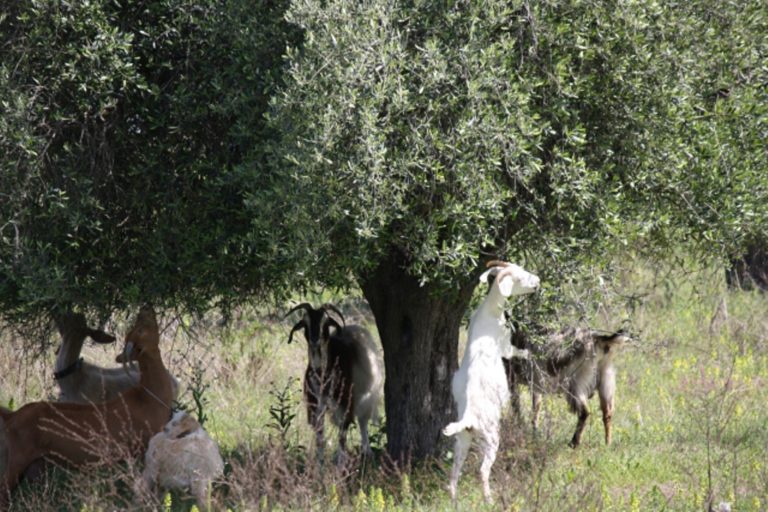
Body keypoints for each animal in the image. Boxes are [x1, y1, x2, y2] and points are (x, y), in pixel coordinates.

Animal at [284, 302, 384, 462]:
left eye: (325, 322)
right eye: (305, 322)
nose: (315, 340)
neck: (322, 373)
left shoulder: (346, 402)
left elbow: (343, 431)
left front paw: (341, 459)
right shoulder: (315, 405)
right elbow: (319, 435)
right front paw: (319, 461)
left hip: (367, 395)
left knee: (362, 421)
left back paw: (367, 451)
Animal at [440, 262, 544, 502]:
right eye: (519, 277)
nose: (537, 281)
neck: (489, 311)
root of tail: (468, 418)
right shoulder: (505, 346)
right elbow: (515, 351)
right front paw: (528, 353)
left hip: (463, 440)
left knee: (455, 471)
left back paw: (454, 500)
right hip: (490, 438)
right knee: (482, 470)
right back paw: (489, 499)